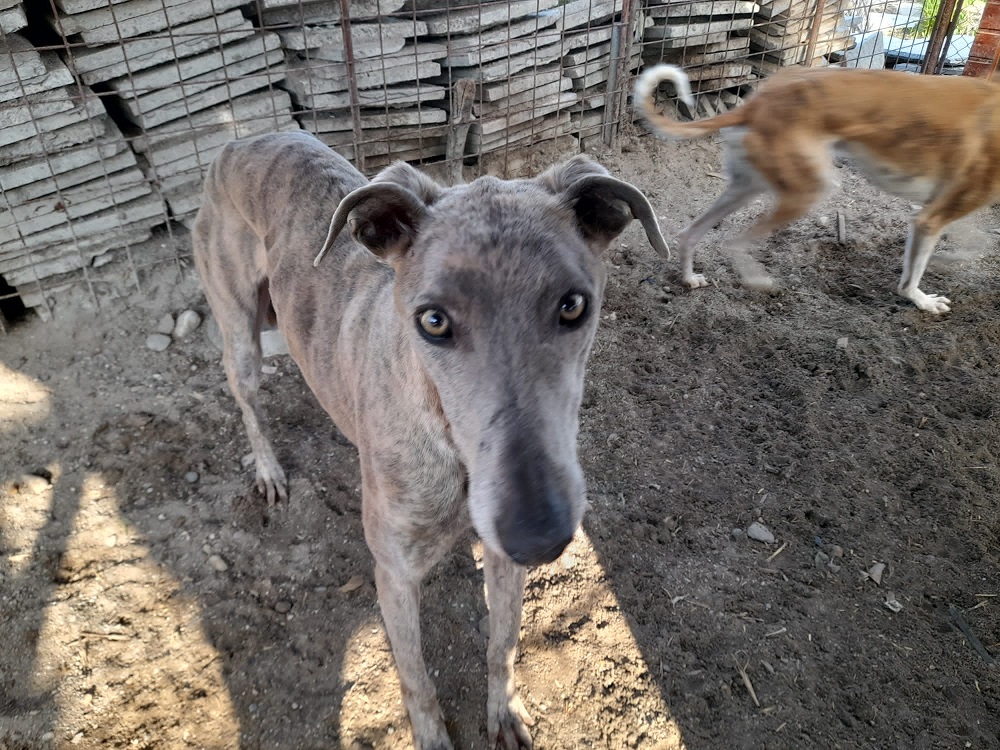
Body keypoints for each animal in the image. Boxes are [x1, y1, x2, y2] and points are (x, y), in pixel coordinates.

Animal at [191, 131, 670, 749]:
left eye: (573, 305)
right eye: (433, 321)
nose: (538, 536)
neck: (451, 448)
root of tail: (242, 138)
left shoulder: (500, 557)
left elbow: (502, 643)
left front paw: (504, 712)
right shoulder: (393, 575)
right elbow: (416, 676)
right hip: (238, 330)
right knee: (248, 398)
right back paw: (269, 470)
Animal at [634, 63, 1000, 313]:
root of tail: (762, 100)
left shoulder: (939, 208)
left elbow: (978, 242)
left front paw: (946, 261)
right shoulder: (931, 218)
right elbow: (913, 277)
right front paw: (923, 300)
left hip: (748, 185)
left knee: (690, 234)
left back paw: (689, 278)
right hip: (807, 191)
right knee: (733, 242)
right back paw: (758, 281)